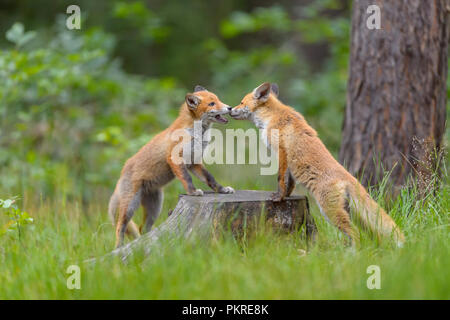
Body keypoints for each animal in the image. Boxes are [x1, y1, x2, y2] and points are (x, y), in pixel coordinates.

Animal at [110, 85, 234, 248]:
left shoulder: (194, 162)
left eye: (218, 100)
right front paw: (193, 192)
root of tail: (121, 174)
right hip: (130, 205)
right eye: (212, 104)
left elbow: (210, 178)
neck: (196, 135)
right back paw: (119, 247)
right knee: (120, 226)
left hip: (155, 207)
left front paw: (222, 190)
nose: (230, 107)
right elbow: (187, 179)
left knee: (143, 228)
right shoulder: (175, 159)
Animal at [232, 83, 404, 248]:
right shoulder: (289, 163)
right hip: (352, 214)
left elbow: (281, 179)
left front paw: (279, 197)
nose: (230, 109)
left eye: (241, 102)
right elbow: (290, 183)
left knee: (355, 233)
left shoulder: (281, 152)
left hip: (329, 210)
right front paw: (286, 196)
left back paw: (352, 254)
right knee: (371, 234)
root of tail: (350, 177)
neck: (273, 117)